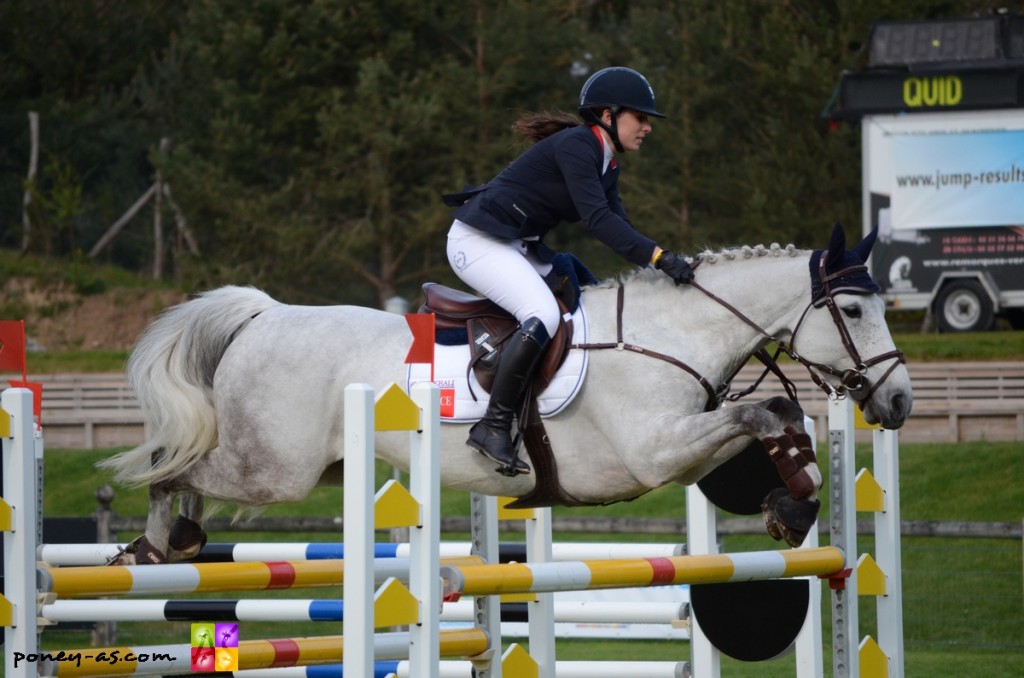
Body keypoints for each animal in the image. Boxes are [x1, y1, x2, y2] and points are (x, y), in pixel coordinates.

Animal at [97, 225, 913, 565]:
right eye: (854, 310)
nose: (900, 404)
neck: (669, 332)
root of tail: (264, 313)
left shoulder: (687, 445)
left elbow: (776, 414)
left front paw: (795, 503)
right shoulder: (655, 455)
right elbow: (764, 410)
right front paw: (794, 504)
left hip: (308, 466)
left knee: (195, 469)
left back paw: (176, 539)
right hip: (275, 470)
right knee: (180, 467)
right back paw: (156, 542)